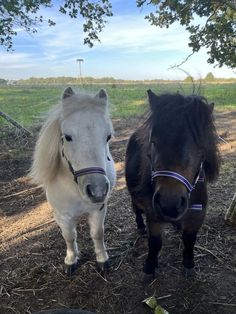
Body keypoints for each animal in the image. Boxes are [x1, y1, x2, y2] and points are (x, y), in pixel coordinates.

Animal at [30, 86, 116, 274]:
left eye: (108, 136)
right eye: (68, 136)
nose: (97, 191)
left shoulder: (99, 208)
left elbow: (97, 233)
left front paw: (102, 259)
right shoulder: (63, 215)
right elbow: (69, 236)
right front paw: (71, 260)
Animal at [125, 89, 219, 276]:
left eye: (200, 146)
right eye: (154, 142)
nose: (169, 204)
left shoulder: (198, 215)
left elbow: (189, 240)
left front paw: (188, 264)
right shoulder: (153, 215)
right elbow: (155, 243)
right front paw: (150, 267)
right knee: (136, 208)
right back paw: (140, 226)